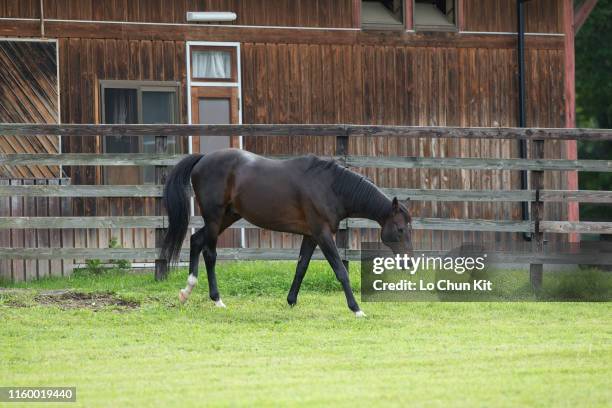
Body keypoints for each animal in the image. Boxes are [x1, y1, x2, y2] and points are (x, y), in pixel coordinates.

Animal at [160, 148, 414, 318]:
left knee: (196, 240)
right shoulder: (323, 234)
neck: (330, 187)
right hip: (215, 217)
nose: (409, 262)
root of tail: (203, 158)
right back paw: (217, 300)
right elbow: (341, 271)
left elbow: (301, 268)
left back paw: (186, 291)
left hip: (228, 216)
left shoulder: (311, 235)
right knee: (210, 253)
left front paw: (291, 301)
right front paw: (356, 309)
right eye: (401, 229)